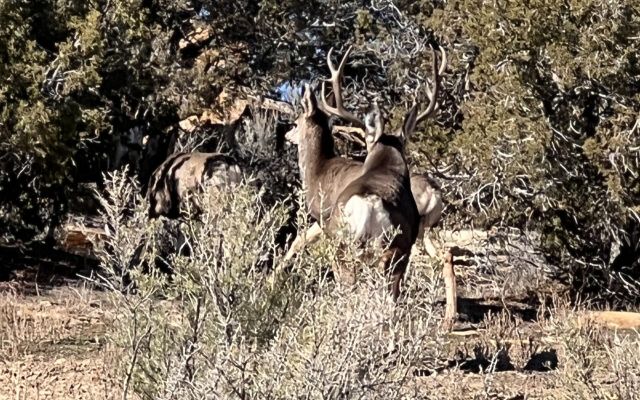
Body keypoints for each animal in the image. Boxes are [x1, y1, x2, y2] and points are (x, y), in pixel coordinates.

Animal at [281, 45, 446, 299]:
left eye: (296, 123)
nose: (286, 135)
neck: (318, 170)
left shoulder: (323, 217)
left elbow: (298, 241)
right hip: (413, 234)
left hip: (384, 248)